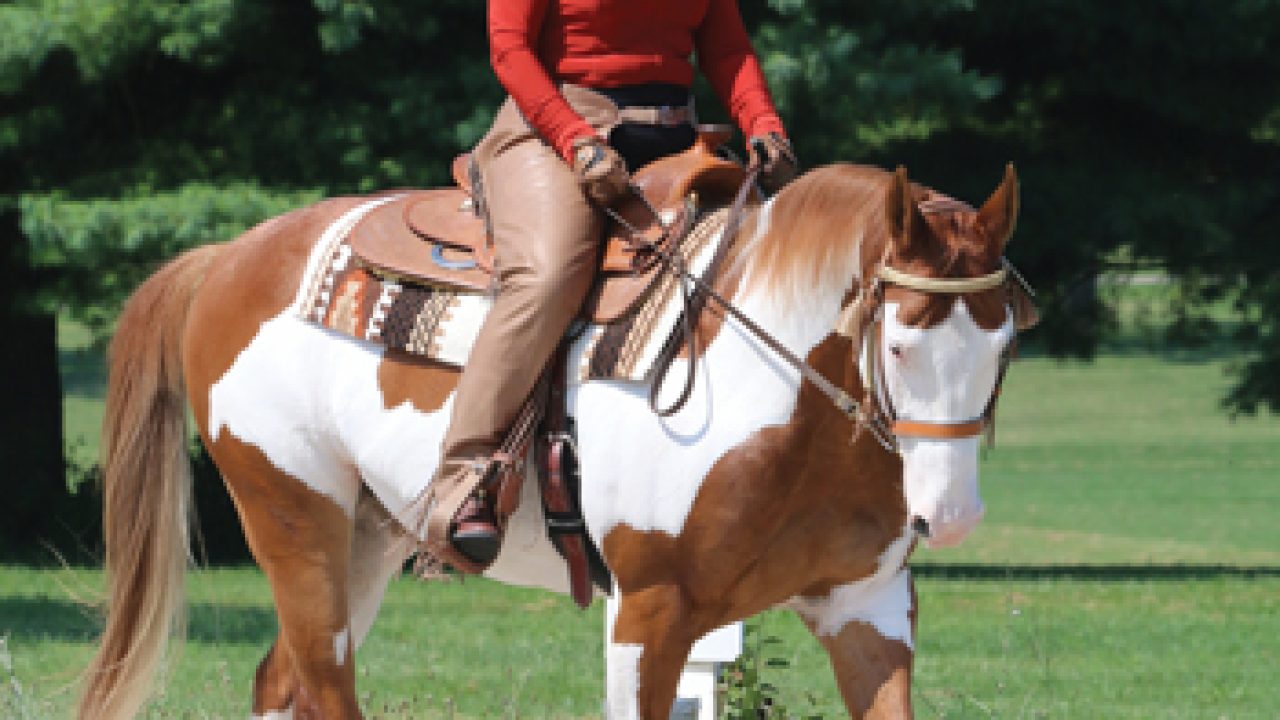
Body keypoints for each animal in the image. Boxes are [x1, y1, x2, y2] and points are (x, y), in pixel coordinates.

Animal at [80, 158, 1024, 717]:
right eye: (898, 345)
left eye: (1007, 342)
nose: (951, 516)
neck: (788, 415)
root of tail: (229, 257)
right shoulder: (650, 615)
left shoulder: (869, 611)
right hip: (291, 517)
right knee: (322, 681)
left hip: (365, 538)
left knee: (282, 683)